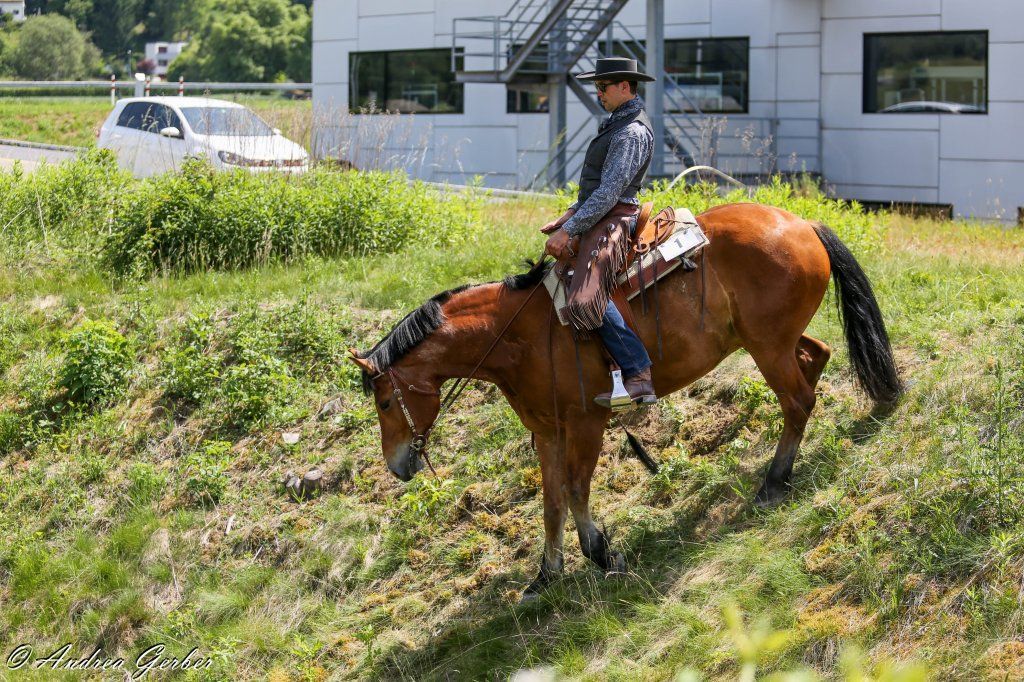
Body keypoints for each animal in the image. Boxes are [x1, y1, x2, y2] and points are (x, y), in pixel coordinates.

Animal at [347, 202, 902, 597]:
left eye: (384, 403)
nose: (396, 465)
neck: (520, 333)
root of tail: (801, 224)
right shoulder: (547, 431)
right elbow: (550, 501)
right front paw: (545, 575)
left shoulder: (586, 422)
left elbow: (575, 490)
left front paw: (600, 552)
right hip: (774, 341)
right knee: (817, 357)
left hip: (767, 347)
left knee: (798, 400)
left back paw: (774, 481)